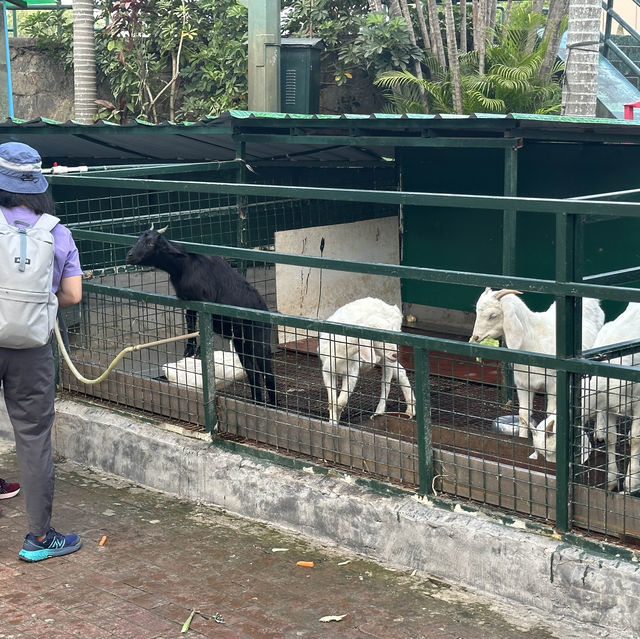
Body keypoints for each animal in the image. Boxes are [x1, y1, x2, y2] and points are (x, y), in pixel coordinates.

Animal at [126, 225, 276, 404]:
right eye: (138, 239)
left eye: (150, 243)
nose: (129, 256)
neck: (184, 266)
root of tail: (266, 311)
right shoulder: (189, 301)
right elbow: (190, 323)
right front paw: (189, 349)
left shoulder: (205, 302)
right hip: (241, 342)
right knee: (252, 372)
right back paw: (257, 402)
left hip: (259, 339)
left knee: (267, 373)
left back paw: (273, 405)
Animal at [318, 298, 418, 428]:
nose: (395, 354)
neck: (341, 350)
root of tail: (393, 308)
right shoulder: (327, 370)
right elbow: (332, 402)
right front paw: (332, 423)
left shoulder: (352, 372)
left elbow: (341, 402)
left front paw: (336, 424)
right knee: (400, 372)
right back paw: (410, 409)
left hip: (386, 359)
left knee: (386, 382)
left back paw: (379, 412)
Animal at [470, 290, 604, 444]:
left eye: (493, 315)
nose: (476, 337)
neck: (532, 341)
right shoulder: (523, 383)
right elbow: (523, 413)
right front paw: (522, 439)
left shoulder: (553, 383)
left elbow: (551, 412)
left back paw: (600, 434)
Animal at [532, 302, 640, 492]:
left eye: (555, 451)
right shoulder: (608, 405)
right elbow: (611, 437)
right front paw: (611, 481)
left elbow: (634, 439)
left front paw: (631, 483)